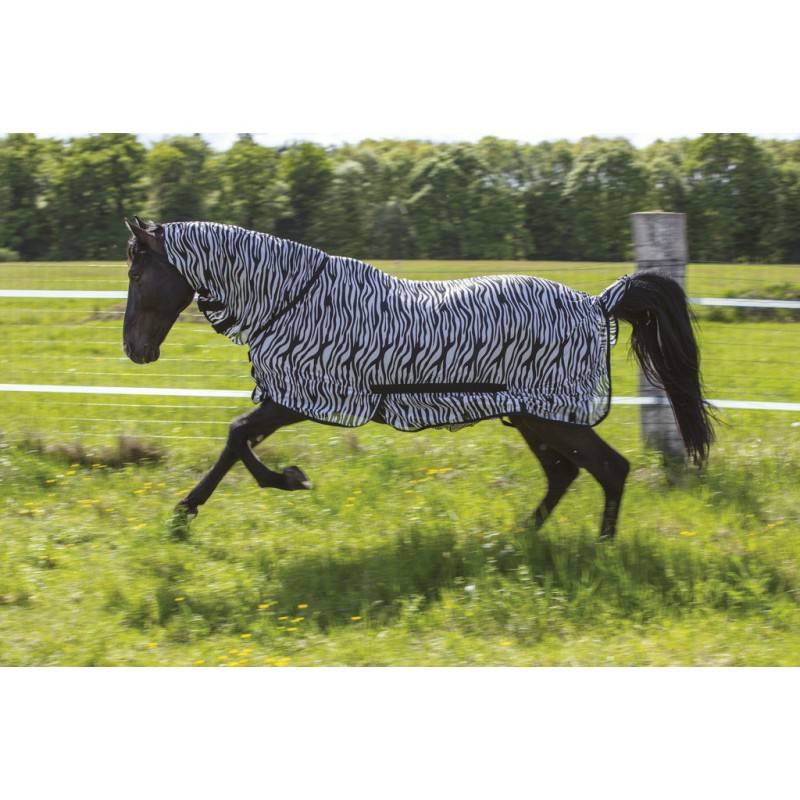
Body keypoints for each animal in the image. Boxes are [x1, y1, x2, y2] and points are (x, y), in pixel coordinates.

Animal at [122, 216, 713, 539]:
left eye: (137, 272)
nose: (135, 349)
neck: (292, 299)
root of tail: (599, 303)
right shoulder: (287, 398)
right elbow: (237, 440)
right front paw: (189, 511)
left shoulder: (298, 398)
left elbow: (238, 435)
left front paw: (284, 480)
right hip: (532, 419)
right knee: (565, 474)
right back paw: (519, 538)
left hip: (552, 418)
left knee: (609, 469)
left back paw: (600, 548)